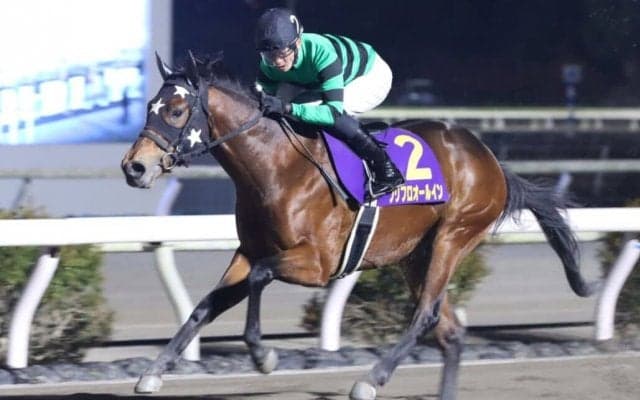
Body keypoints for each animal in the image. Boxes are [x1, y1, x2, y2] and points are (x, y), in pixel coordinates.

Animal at [121, 52, 597, 400]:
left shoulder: (316, 263)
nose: (134, 167)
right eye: (149, 106)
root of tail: (491, 160)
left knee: (426, 315)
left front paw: (262, 356)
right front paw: (153, 372)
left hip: (453, 236)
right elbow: (206, 306)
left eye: (177, 110)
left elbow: (258, 279)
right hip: (414, 254)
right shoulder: (249, 250)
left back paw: (370, 379)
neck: (276, 168)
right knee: (450, 331)